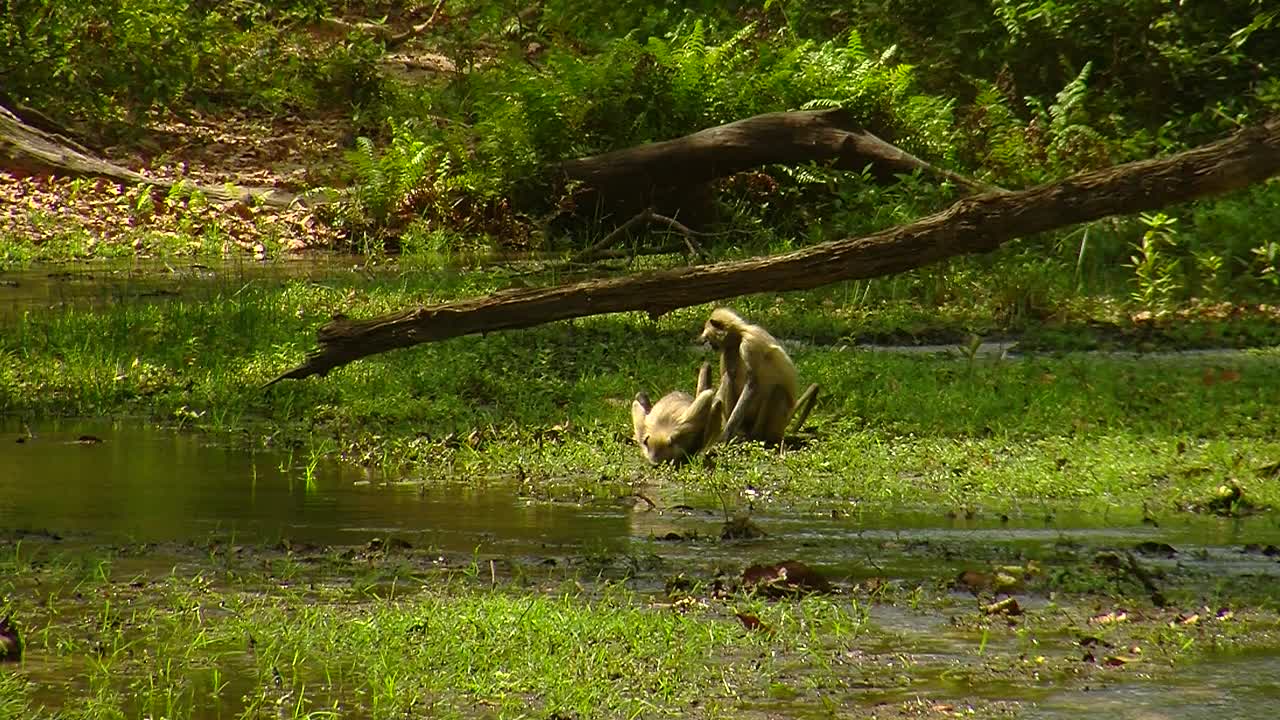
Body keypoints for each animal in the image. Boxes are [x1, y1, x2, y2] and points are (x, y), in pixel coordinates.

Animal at [701, 307, 819, 445]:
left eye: (709, 338)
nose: (710, 345)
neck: (740, 336)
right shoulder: (729, 349)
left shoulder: (750, 343)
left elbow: (752, 384)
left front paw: (725, 435)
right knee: (728, 377)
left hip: (769, 425)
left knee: (778, 391)